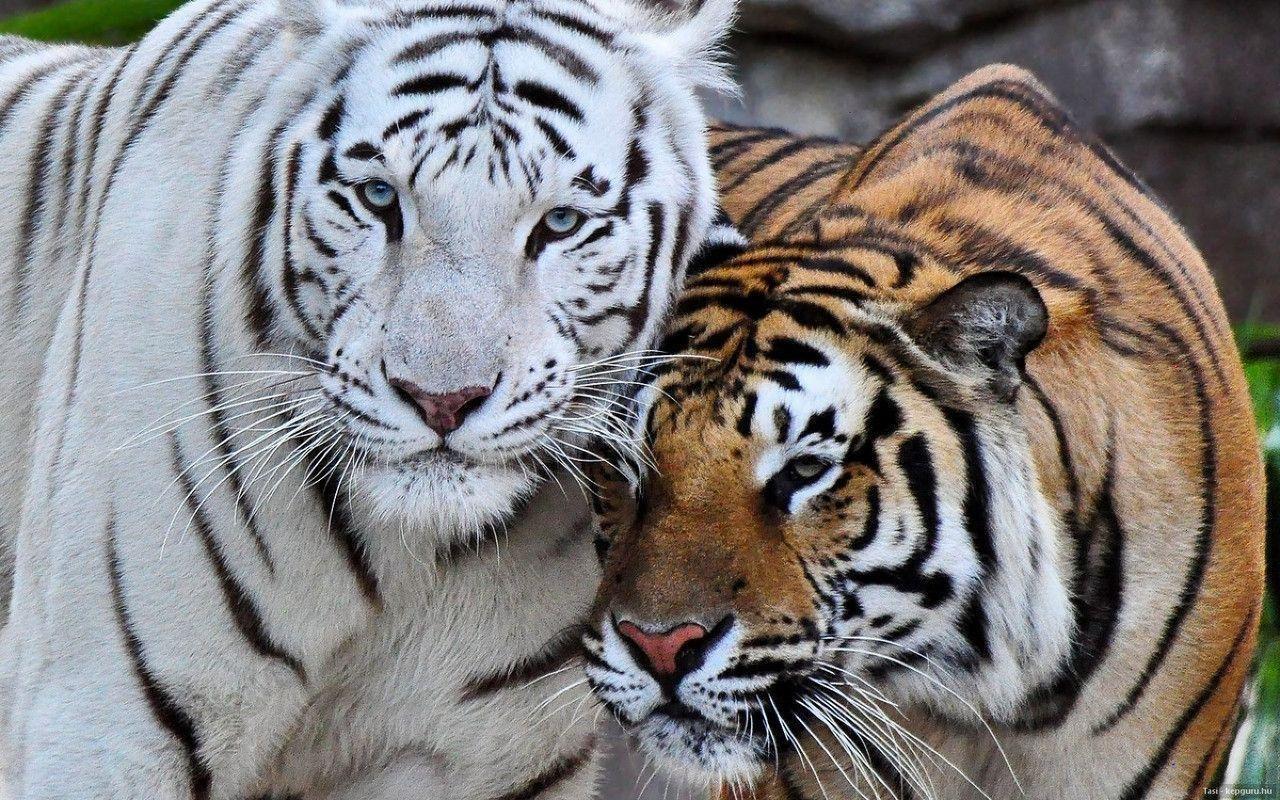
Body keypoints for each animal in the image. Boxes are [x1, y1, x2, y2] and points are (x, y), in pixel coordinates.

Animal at [0, 0, 741, 796]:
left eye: (561, 222)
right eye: (380, 198)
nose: (442, 400)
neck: (408, 561)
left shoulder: (491, 758)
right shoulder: (104, 725)